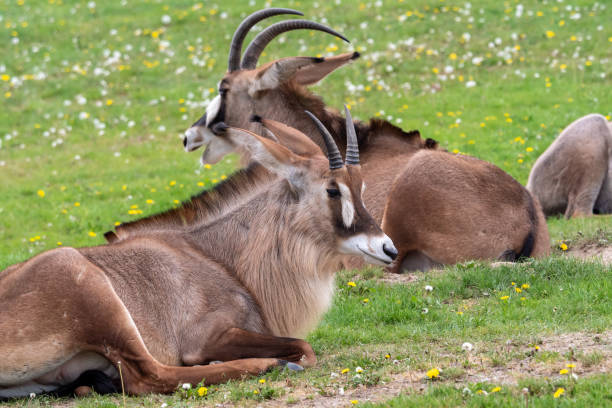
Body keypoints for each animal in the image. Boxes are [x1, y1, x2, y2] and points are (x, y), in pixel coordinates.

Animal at [0, 115, 396, 398]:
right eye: (333, 189)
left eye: (361, 186)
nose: (388, 248)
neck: (221, 257)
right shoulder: (206, 336)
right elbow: (304, 347)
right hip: (94, 293)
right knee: (149, 377)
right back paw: (271, 364)